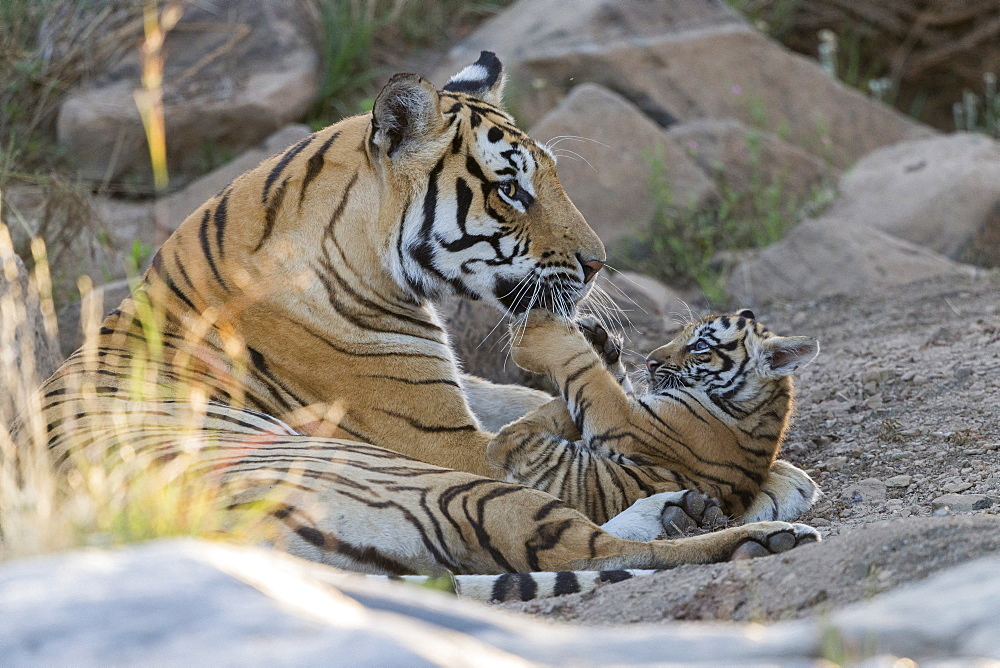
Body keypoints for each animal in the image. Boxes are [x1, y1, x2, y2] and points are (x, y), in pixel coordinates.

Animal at [484, 310, 820, 528]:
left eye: (700, 345)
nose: (649, 361)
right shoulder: (637, 408)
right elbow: (611, 380)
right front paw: (599, 340)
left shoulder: (624, 419)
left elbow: (586, 373)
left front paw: (549, 332)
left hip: (523, 448)